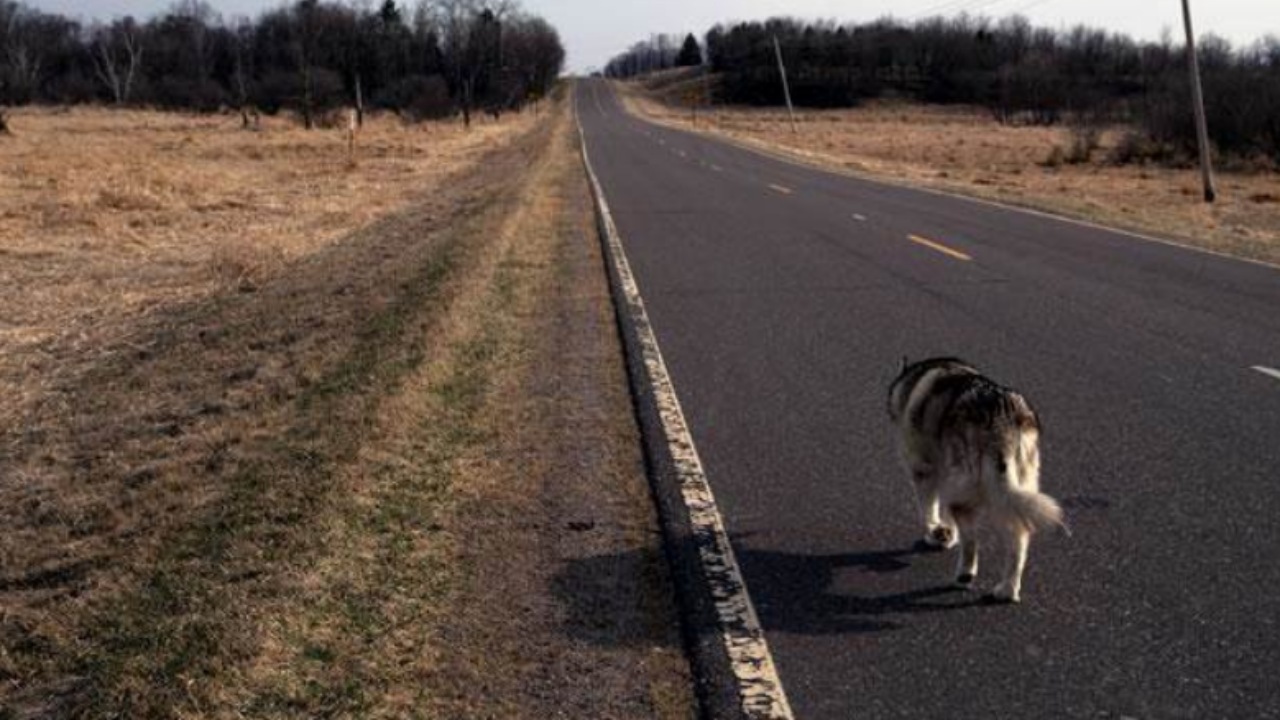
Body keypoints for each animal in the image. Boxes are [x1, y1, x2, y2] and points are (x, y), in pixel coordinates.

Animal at [885, 356, 1064, 599]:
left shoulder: (923, 468)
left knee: (971, 542)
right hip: (1021, 483)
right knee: (1019, 536)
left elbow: (929, 508)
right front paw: (947, 533)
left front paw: (936, 534)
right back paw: (1007, 589)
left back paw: (964, 576)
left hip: (967, 489)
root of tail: (1000, 417)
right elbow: (943, 511)